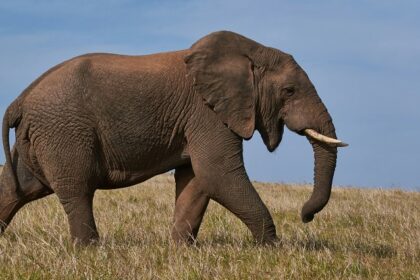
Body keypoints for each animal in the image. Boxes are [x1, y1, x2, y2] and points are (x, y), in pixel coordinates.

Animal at [0, 31, 348, 245]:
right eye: (289, 91)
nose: (305, 216)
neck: (250, 51)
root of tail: (20, 100)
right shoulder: (207, 113)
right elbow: (219, 174)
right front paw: (274, 248)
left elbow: (196, 180)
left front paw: (181, 249)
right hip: (63, 131)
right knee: (77, 190)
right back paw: (90, 249)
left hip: (42, 136)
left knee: (18, 188)